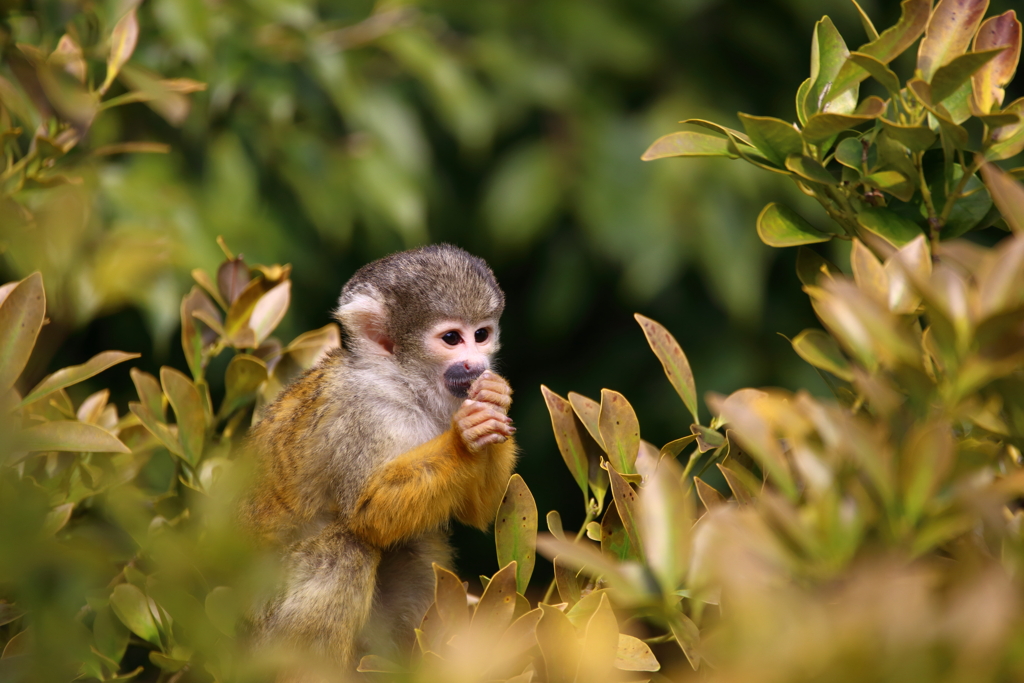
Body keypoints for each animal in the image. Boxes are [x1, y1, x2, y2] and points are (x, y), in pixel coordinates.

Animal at [237, 244, 512, 671]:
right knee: (347, 548)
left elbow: (476, 511)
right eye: (452, 338)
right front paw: (463, 440)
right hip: (262, 622)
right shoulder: (364, 414)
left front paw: (494, 401)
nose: (476, 364)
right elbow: (370, 513)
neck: (403, 384)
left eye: (481, 335)